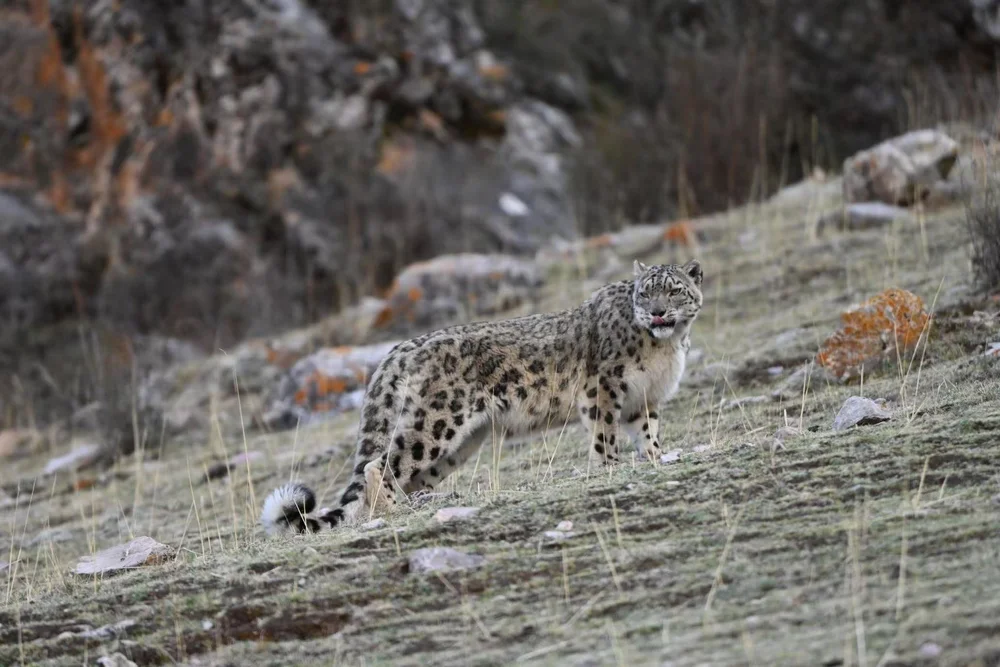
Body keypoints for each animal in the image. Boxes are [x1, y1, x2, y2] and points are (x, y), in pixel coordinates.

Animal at [261, 259, 704, 535]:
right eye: (645, 293)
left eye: (674, 291)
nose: (658, 313)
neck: (665, 348)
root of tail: (401, 347)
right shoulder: (604, 388)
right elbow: (604, 434)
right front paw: (610, 467)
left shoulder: (643, 400)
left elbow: (648, 434)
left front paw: (655, 458)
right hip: (433, 422)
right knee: (379, 464)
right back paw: (394, 509)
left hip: (459, 443)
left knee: (405, 474)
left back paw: (425, 501)